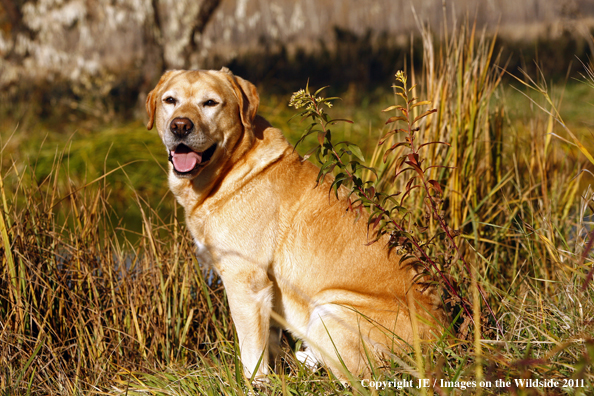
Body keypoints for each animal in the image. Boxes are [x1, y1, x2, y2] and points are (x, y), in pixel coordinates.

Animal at [146, 69, 444, 384]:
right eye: (170, 100)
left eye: (210, 103)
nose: (180, 126)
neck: (230, 169)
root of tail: (443, 339)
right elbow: (269, 345)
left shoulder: (245, 281)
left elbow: (251, 354)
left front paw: (254, 384)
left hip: (331, 308)